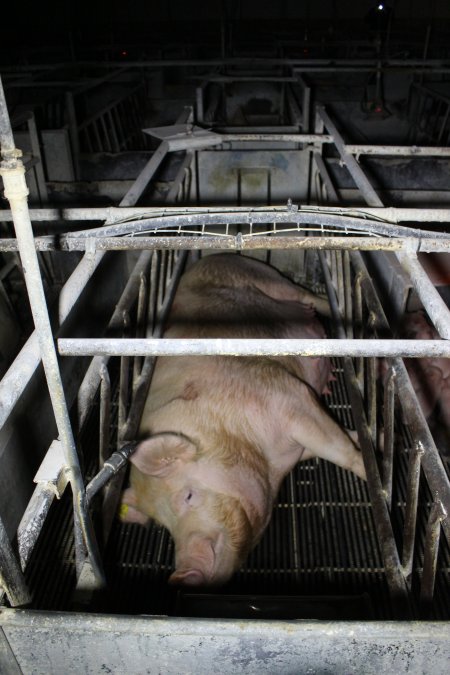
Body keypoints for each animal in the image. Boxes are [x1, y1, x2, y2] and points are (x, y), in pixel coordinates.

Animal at [118, 254, 366, 588]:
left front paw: (369, 466)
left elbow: (341, 452)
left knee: (308, 297)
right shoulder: (296, 442)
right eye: (162, 524)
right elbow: (342, 437)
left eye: (189, 495)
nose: (183, 574)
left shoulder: (284, 393)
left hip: (264, 276)